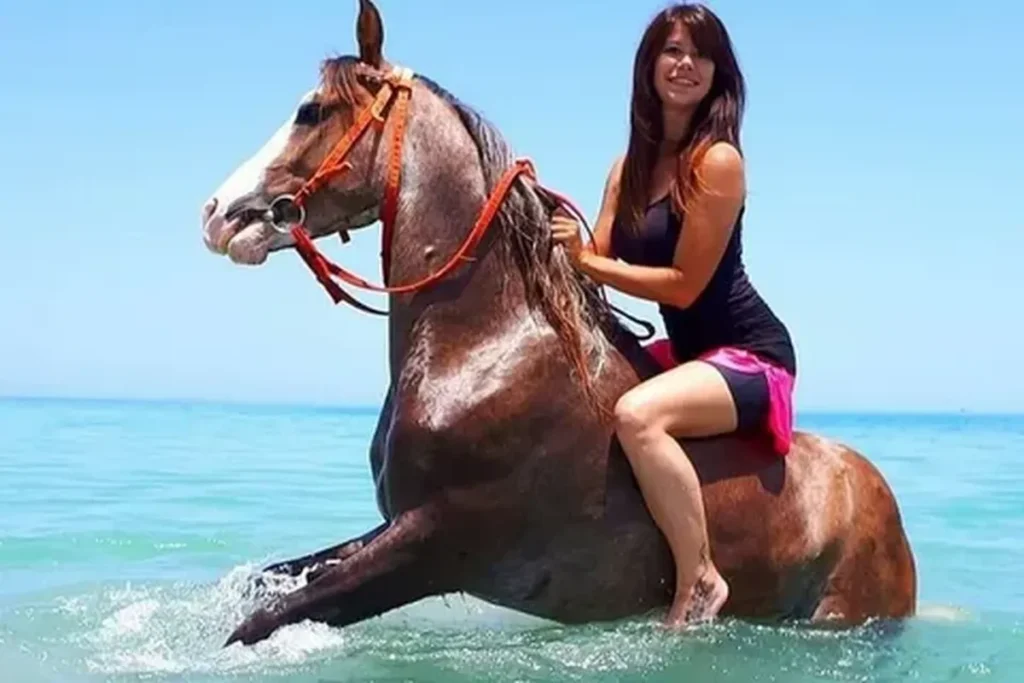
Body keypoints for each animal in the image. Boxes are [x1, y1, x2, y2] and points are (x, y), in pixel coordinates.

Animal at [199, 0, 916, 647]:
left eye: (311, 111)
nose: (218, 212)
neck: (487, 344)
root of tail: (887, 508)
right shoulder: (394, 528)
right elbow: (270, 582)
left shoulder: (431, 544)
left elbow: (264, 619)